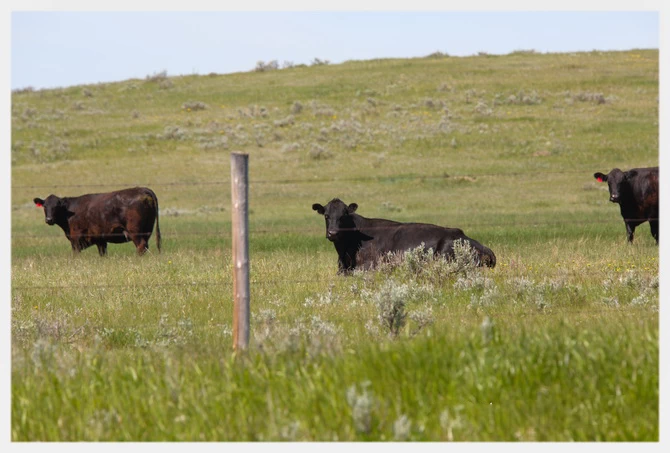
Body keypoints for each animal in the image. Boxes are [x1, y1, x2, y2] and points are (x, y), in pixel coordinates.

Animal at [33, 186, 163, 256]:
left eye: (56, 207)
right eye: (45, 206)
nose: (49, 219)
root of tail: (143, 189)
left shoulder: (75, 239)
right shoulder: (100, 240)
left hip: (135, 231)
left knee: (141, 246)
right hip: (147, 229)